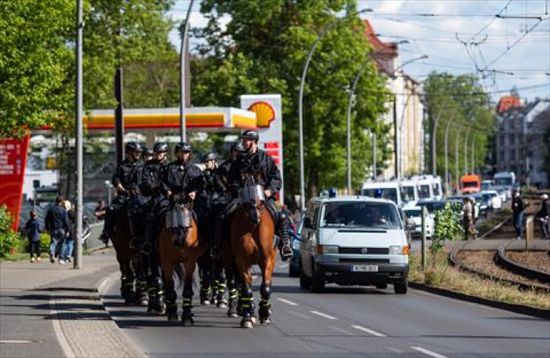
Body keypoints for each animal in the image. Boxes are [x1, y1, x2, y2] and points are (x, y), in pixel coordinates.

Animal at [231, 186, 278, 328]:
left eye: (261, 203)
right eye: (247, 203)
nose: (255, 217)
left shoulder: (268, 260)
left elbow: (265, 288)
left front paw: (264, 313)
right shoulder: (241, 260)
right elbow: (247, 288)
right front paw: (247, 317)